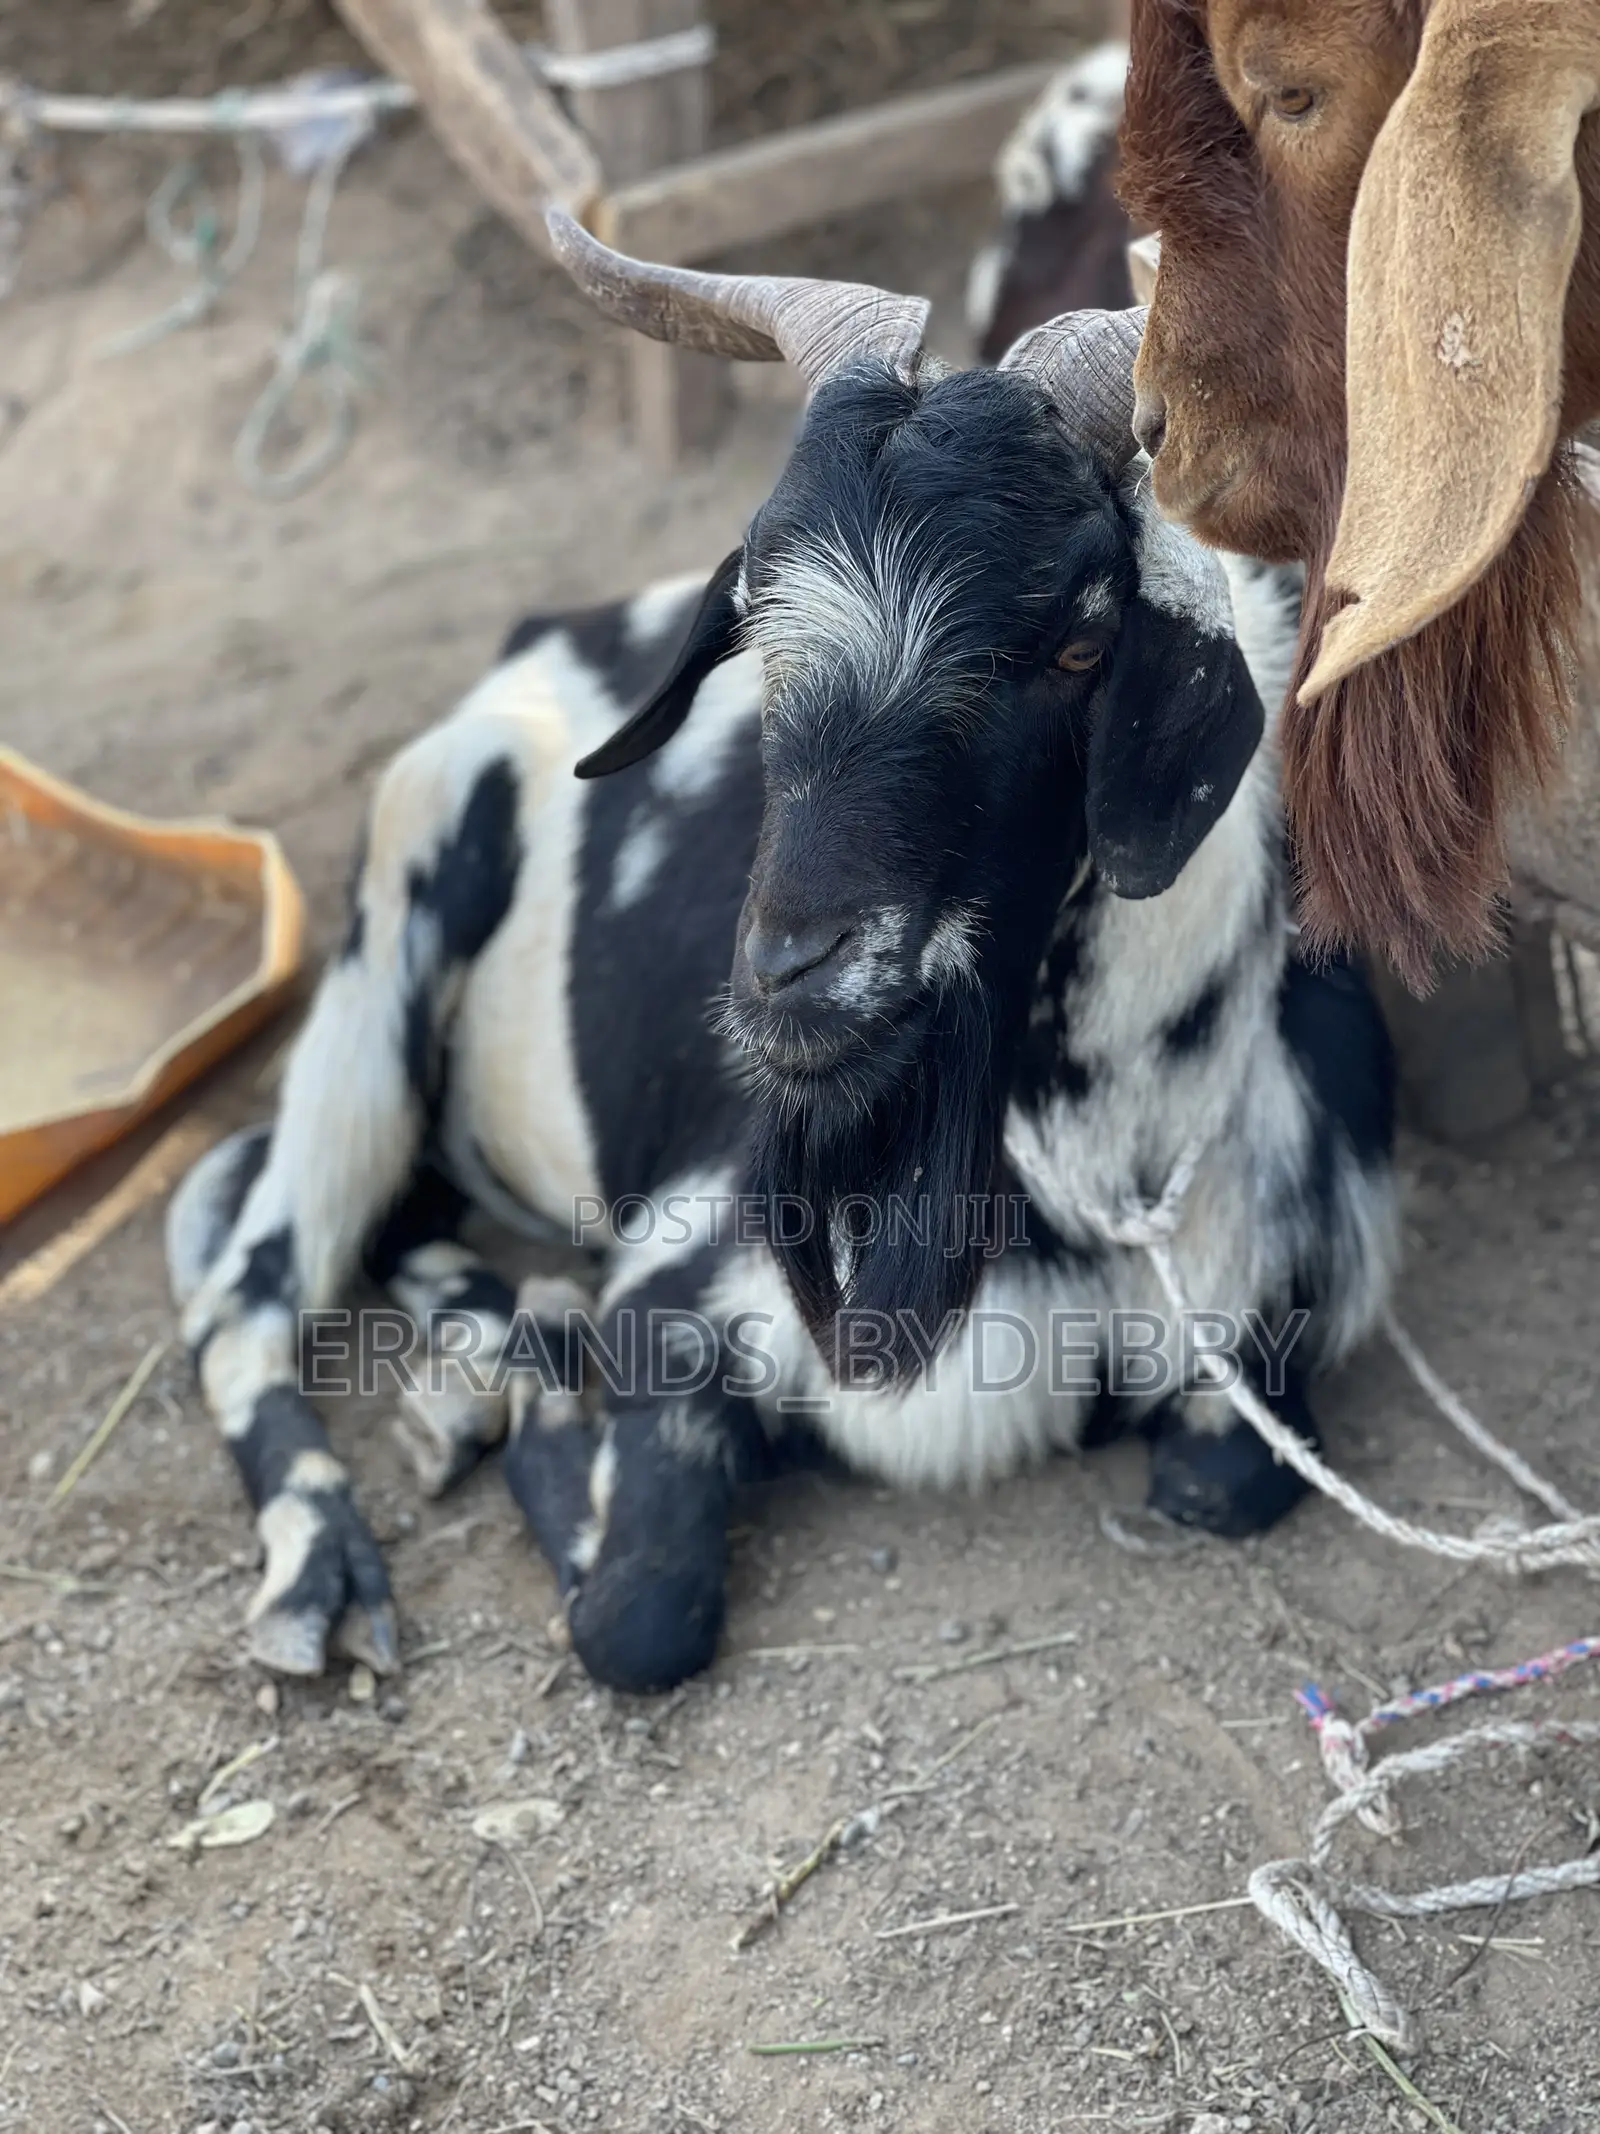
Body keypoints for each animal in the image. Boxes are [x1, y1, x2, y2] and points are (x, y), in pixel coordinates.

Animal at [167, 227, 1398, 1694]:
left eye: (1081, 638)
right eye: (757, 615)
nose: (792, 974)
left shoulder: (1263, 1330)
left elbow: (1222, 1482)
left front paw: (522, 1357)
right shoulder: (683, 1277)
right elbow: (633, 1613)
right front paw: (550, 1405)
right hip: (395, 915)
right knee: (247, 1285)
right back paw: (321, 1572)